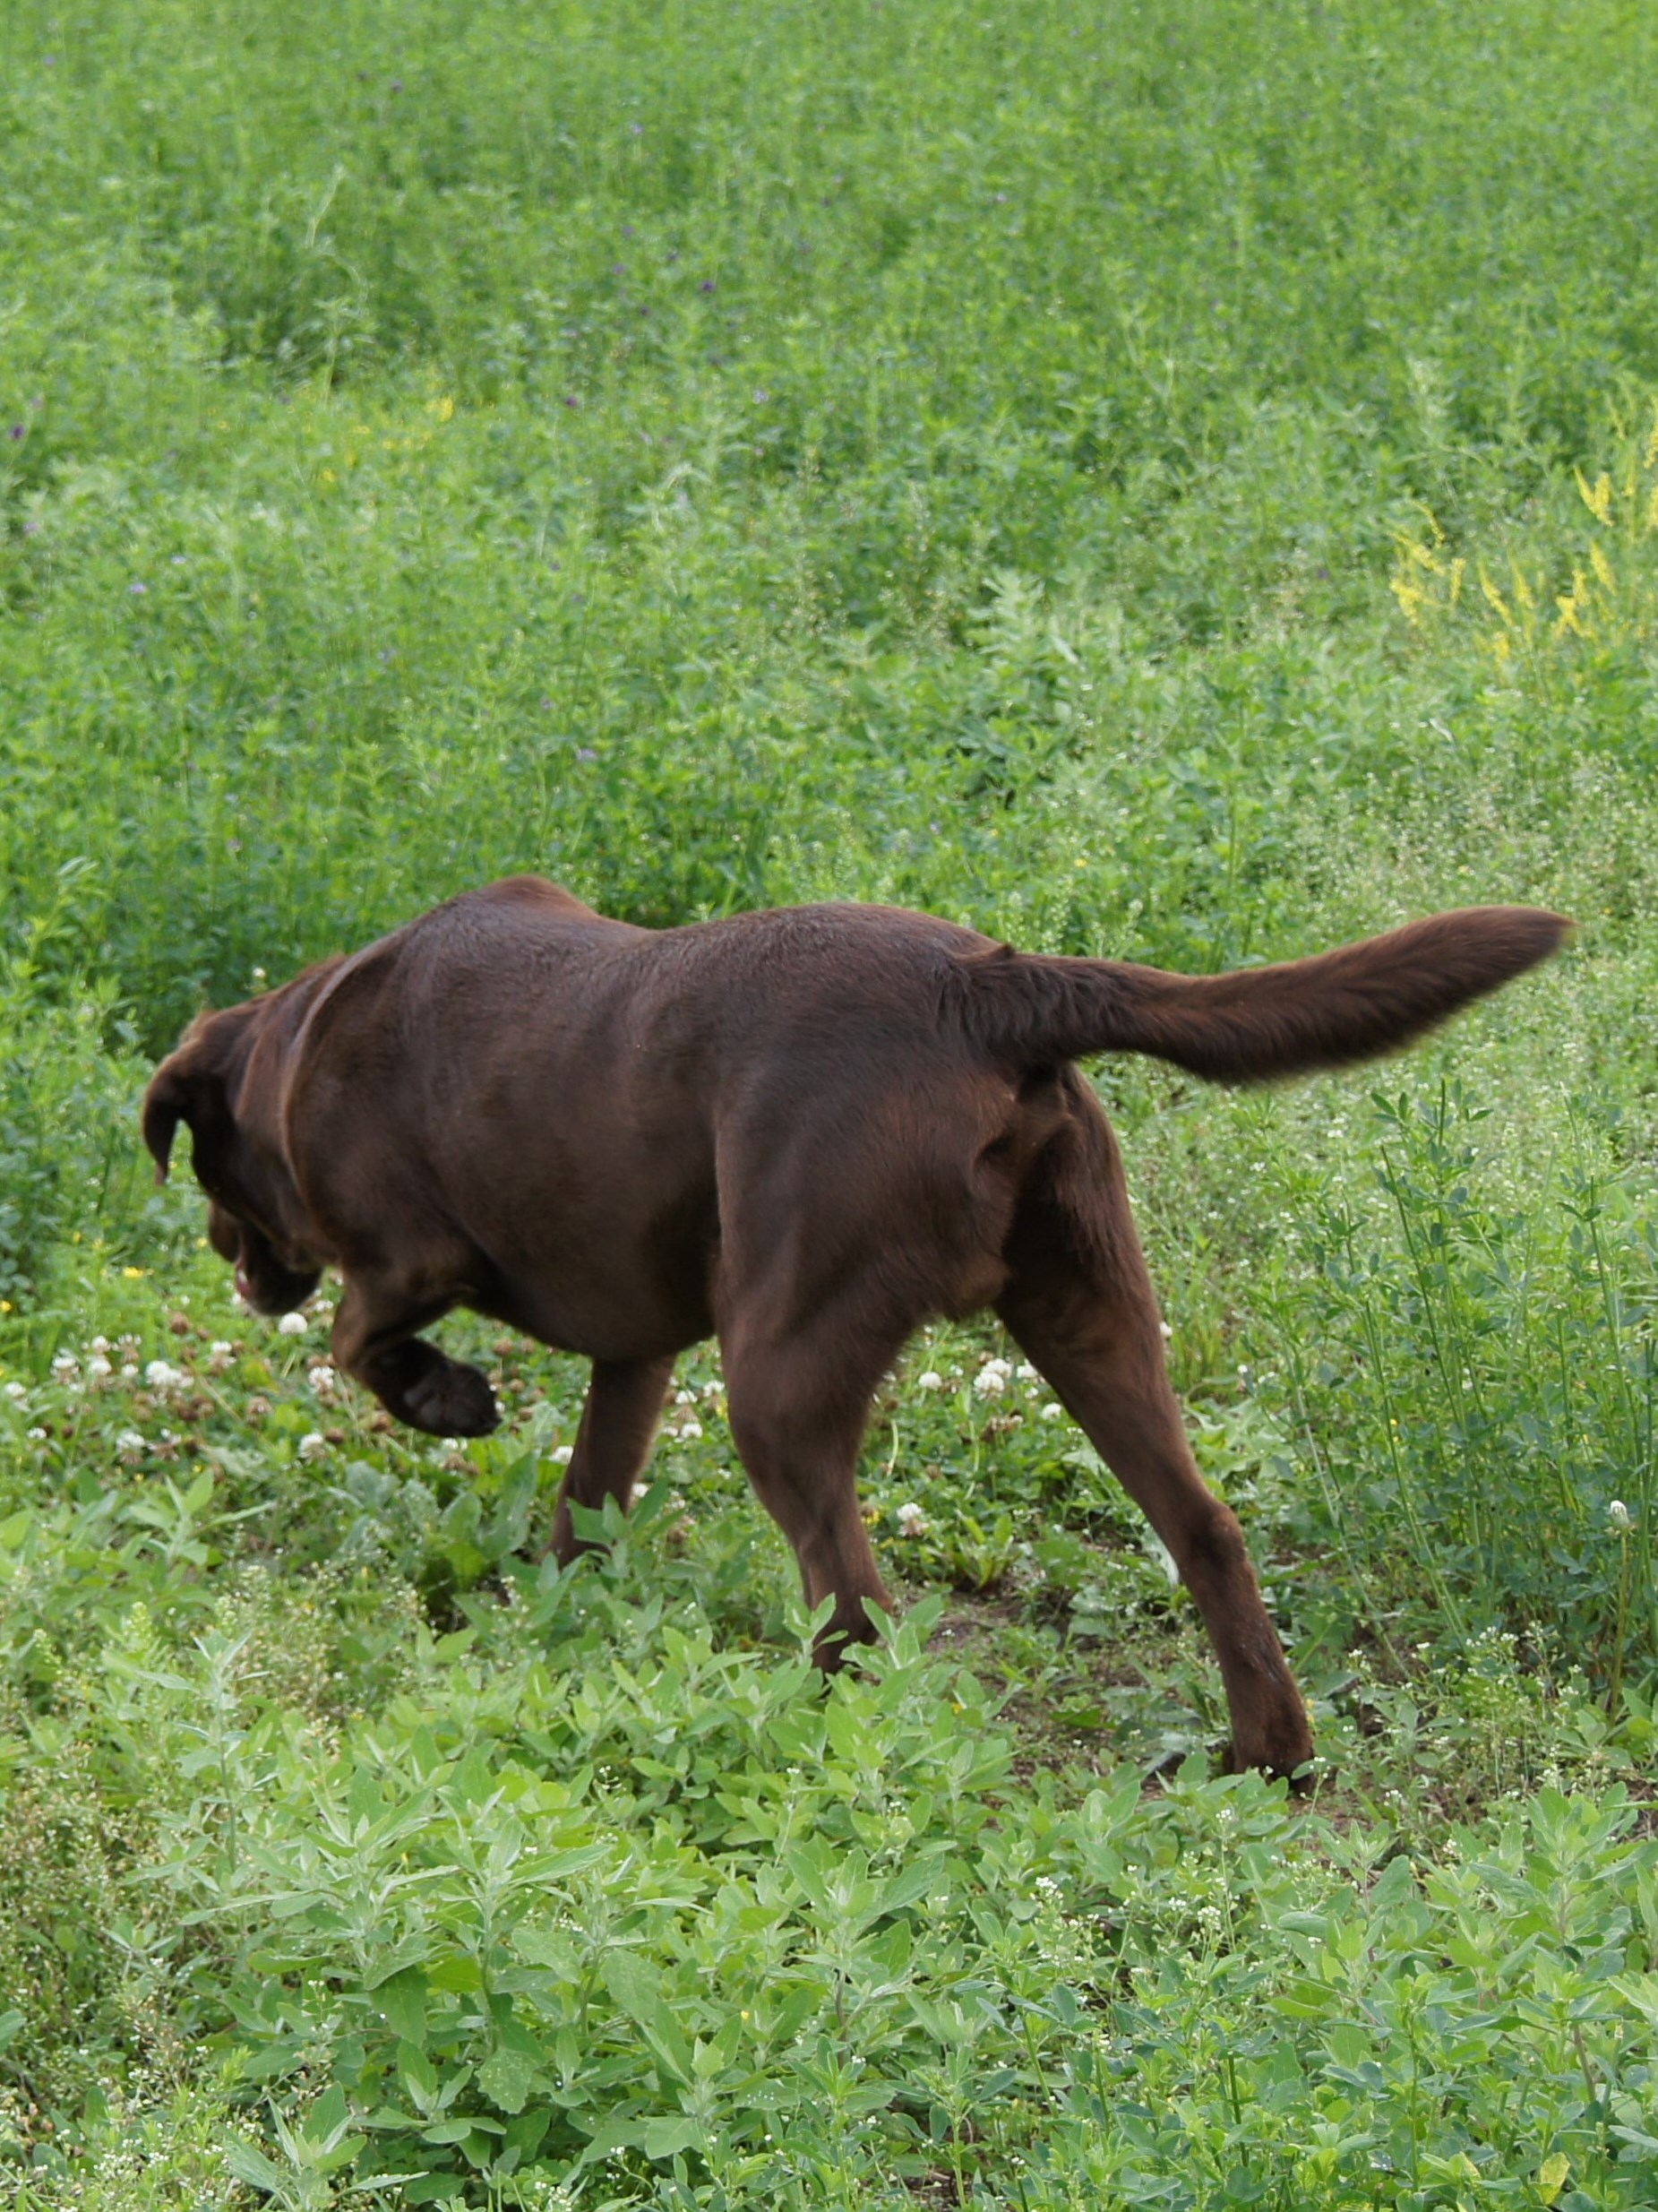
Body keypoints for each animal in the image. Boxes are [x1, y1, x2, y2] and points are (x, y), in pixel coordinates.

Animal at [142, 880, 1574, 1778]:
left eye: (210, 1175)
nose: (228, 1269)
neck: (300, 1046)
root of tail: (982, 984)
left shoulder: (408, 1252)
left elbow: (358, 1340)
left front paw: (451, 1398)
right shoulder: (635, 1354)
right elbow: (586, 1497)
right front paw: (563, 1624)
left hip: (779, 1362)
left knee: (858, 1592)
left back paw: (825, 1732)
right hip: (1090, 1310)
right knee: (1206, 1528)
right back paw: (1267, 1753)